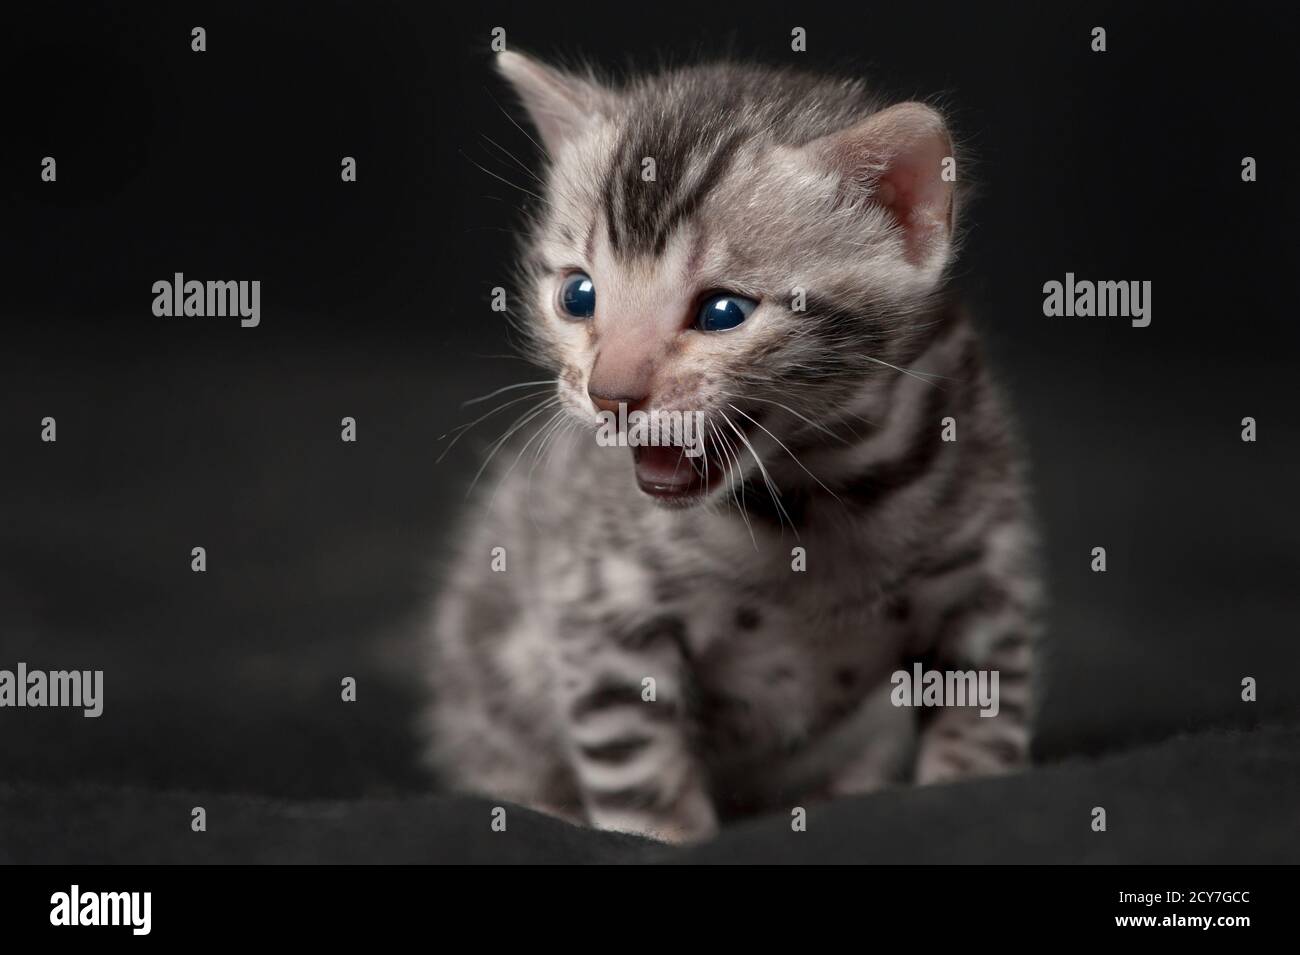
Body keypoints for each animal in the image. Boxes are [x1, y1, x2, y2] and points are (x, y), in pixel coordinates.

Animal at [426, 52, 1045, 841]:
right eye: (578, 296)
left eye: (723, 311)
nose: (610, 393)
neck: (819, 499)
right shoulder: (600, 610)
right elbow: (638, 767)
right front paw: (660, 836)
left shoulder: (986, 585)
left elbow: (982, 728)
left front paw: (964, 793)